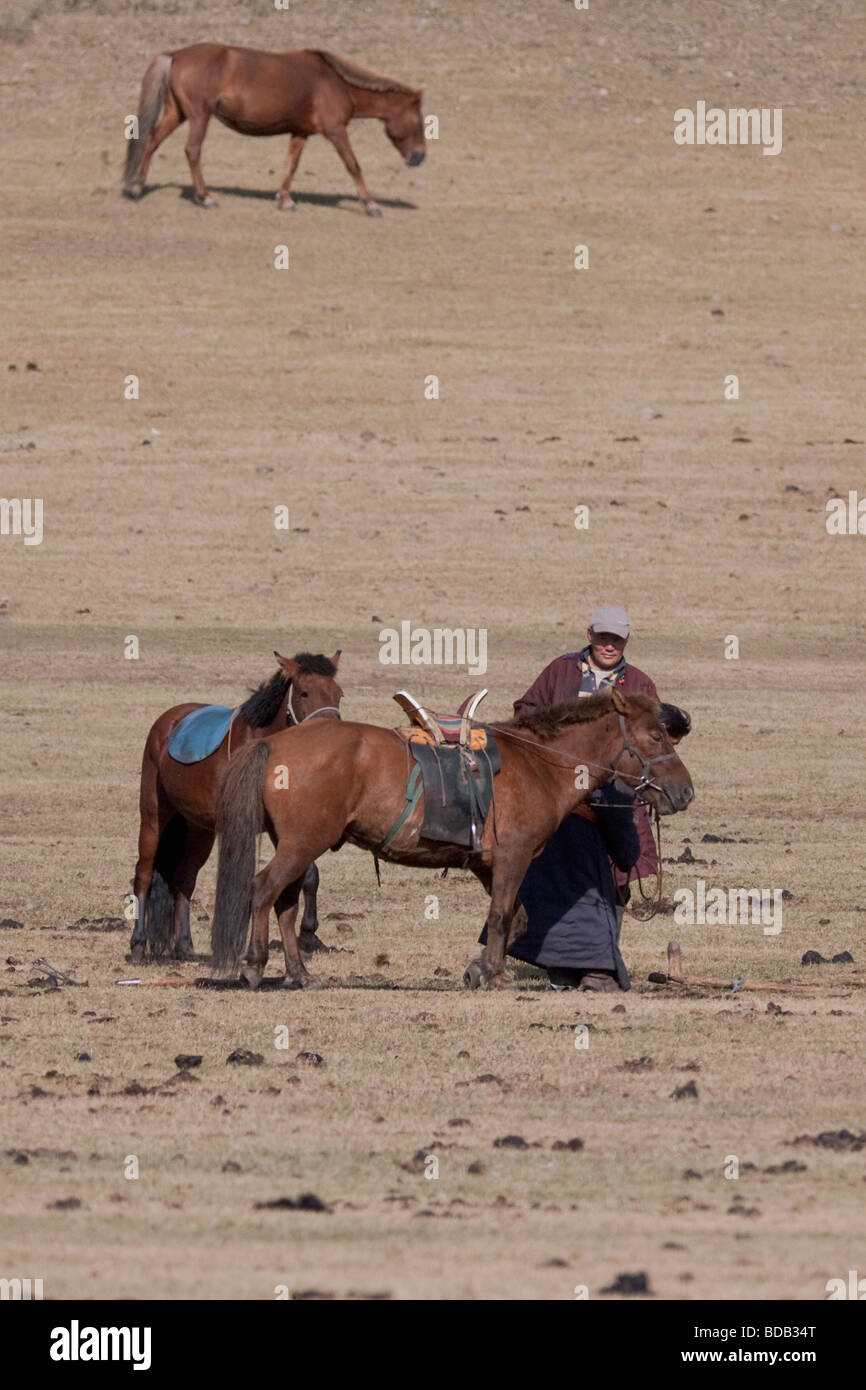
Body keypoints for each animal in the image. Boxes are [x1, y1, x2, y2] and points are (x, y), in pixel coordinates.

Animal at [124, 42, 428, 211]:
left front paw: (285, 200)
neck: (337, 83)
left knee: (152, 141)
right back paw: (206, 197)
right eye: (418, 120)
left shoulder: (301, 132)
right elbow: (353, 164)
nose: (419, 157)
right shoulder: (335, 130)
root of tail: (176, 54)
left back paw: (136, 188)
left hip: (177, 114)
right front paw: (371, 205)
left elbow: (290, 165)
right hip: (199, 116)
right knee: (192, 151)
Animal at [132, 647, 341, 956]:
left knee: (184, 880)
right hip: (153, 817)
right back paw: (138, 943)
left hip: (199, 830)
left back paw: (184, 945)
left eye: (338, 693)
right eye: (304, 693)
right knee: (144, 874)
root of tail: (170, 721)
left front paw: (308, 934)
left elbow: (307, 874)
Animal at [211, 683, 697, 989]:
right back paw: (254, 966)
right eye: (656, 735)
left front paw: (479, 970)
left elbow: (516, 917)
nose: (685, 791)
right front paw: (496, 975)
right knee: (262, 890)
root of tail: (276, 743)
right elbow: (501, 916)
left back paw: (300, 974)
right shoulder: (514, 858)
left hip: (295, 846)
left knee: (286, 905)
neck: (539, 763)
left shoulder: (487, 864)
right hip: (301, 845)